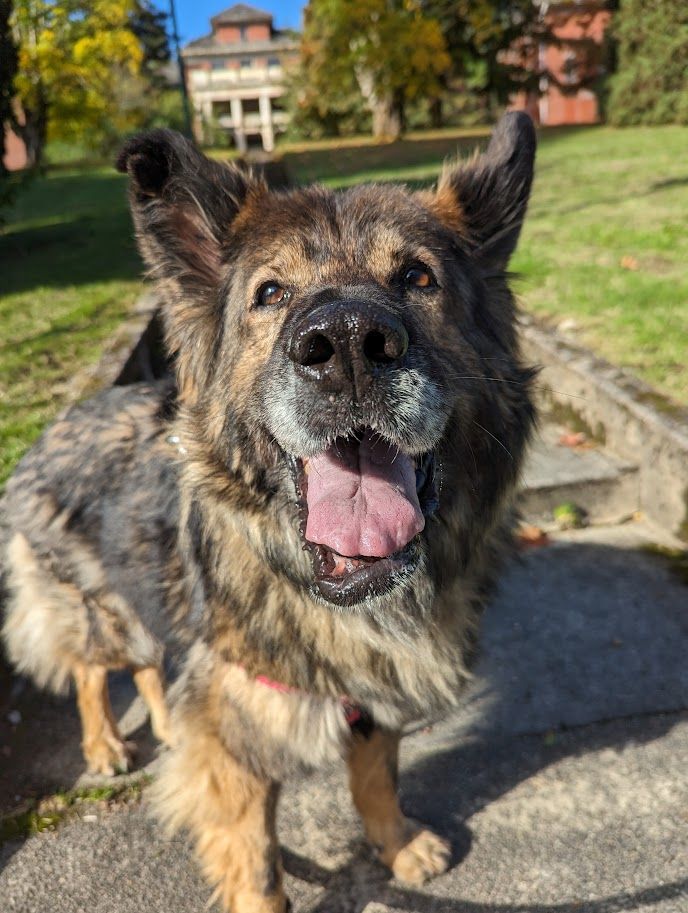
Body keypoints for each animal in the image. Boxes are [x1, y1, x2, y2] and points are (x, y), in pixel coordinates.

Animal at [1, 114, 536, 912]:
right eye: (272, 292)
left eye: (417, 278)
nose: (347, 342)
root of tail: (57, 421)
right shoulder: (236, 747)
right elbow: (256, 862)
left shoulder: (365, 695)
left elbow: (376, 778)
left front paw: (397, 845)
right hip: (94, 605)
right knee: (94, 673)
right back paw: (105, 744)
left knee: (152, 665)